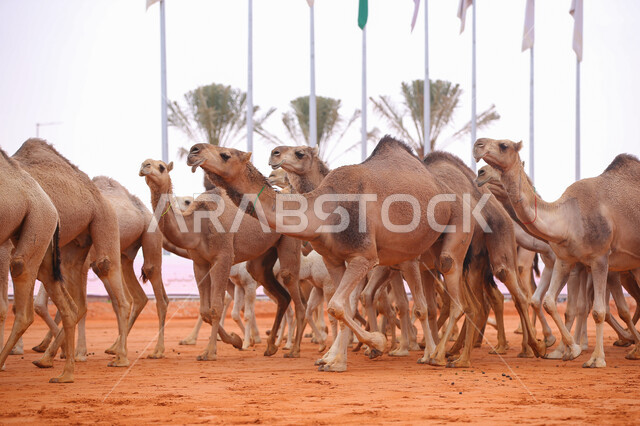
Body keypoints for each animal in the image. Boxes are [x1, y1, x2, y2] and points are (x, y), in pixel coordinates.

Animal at [139, 159, 305, 360]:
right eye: (145, 162)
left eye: (161, 167)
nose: (145, 166)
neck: (197, 224)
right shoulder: (200, 263)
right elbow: (204, 310)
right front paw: (236, 340)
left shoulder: (223, 257)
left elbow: (216, 307)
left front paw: (210, 352)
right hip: (263, 257)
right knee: (279, 293)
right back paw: (271, 346)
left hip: (290, 239)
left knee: (295, 290)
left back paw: (294, 349)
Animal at [188, 136, 484, 371]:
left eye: (225, 154)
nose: (193, 149)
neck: (325, 209)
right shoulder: (334, 260)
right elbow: (342, 308)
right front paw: (335, 360)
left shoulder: (364, 256)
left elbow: (338, 306)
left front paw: (375, 344)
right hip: (428, 256)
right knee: (460, 301)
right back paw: (456, 356)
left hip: (452, 236)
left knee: (453, 294)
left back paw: (438, 355)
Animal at [474, 138, 640, 367]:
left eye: (504, 145)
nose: (479, 172)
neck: (566, 221)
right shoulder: (561, 262)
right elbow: (546, 301)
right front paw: (564, 348)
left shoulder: (597, 261)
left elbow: (591, 309)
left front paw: (594, 357)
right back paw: (631, 344)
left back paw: (627, 342)